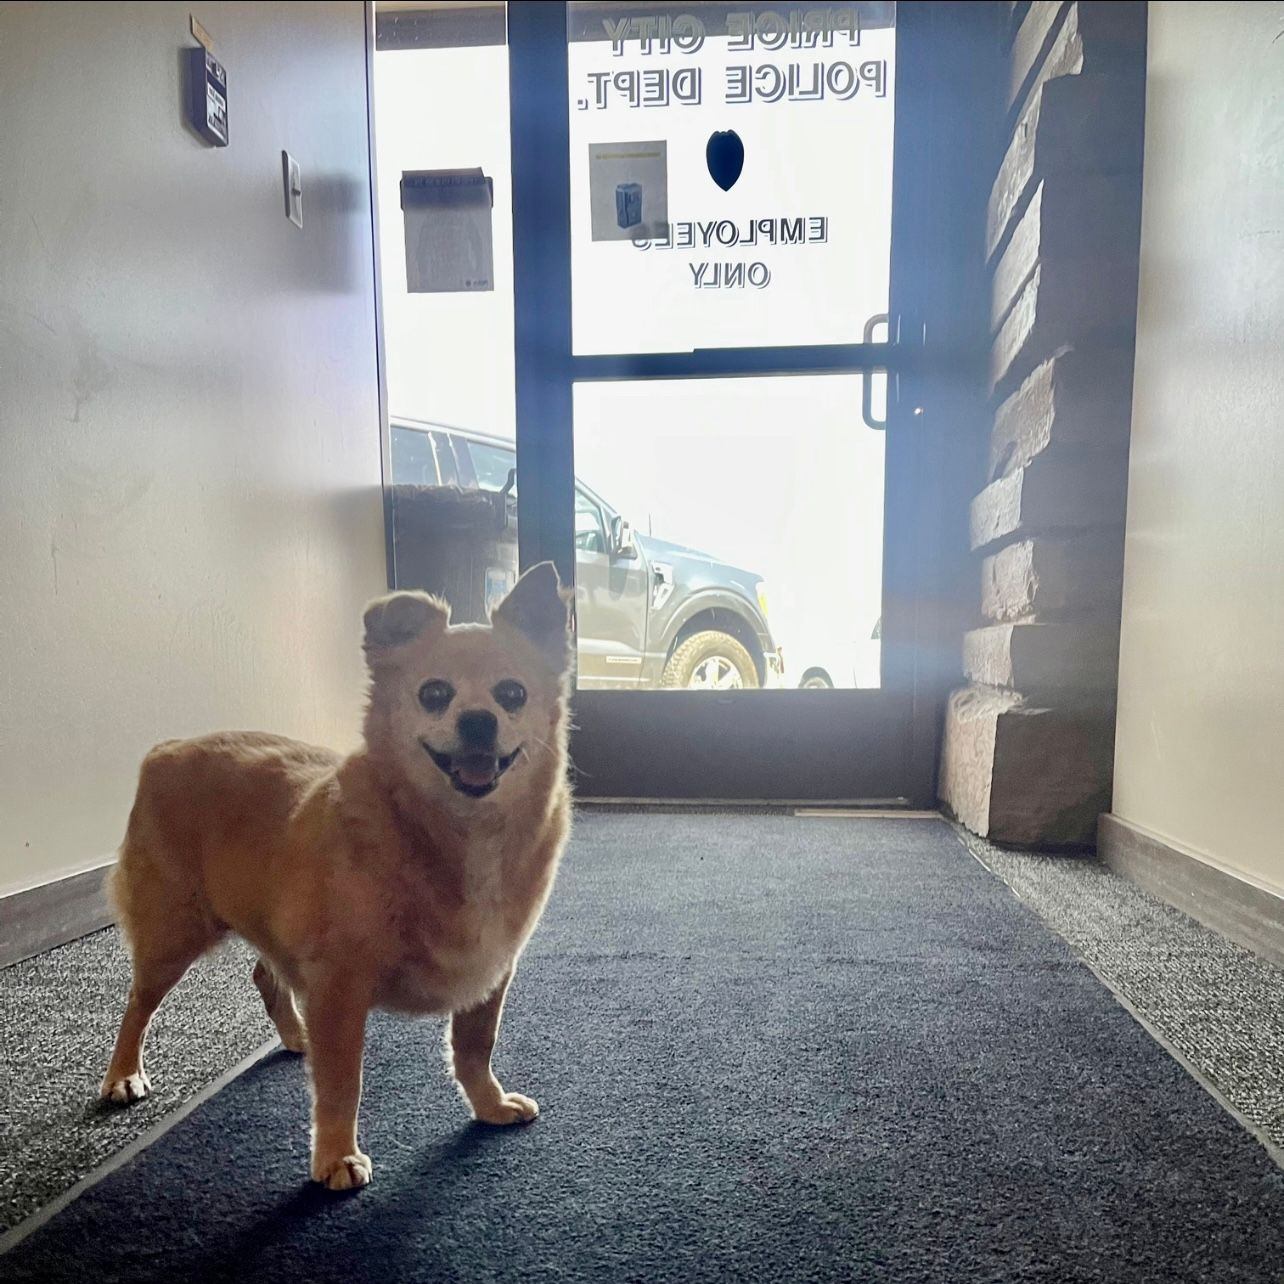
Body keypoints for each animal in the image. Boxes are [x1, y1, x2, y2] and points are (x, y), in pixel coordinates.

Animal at [102, 567, 575, 1186]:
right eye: (435, 694)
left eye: (512, 694)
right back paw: (122, 1075)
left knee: (265, 975)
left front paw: (488, 1104)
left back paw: (297, 1035)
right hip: (171, 935)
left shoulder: (491, 968)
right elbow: (341, 1083)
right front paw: (335, 1156)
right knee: (138, 1003)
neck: (454, 834)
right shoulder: (340, 988)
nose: (478, 720)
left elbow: (476, 1045)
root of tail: (167, 747)